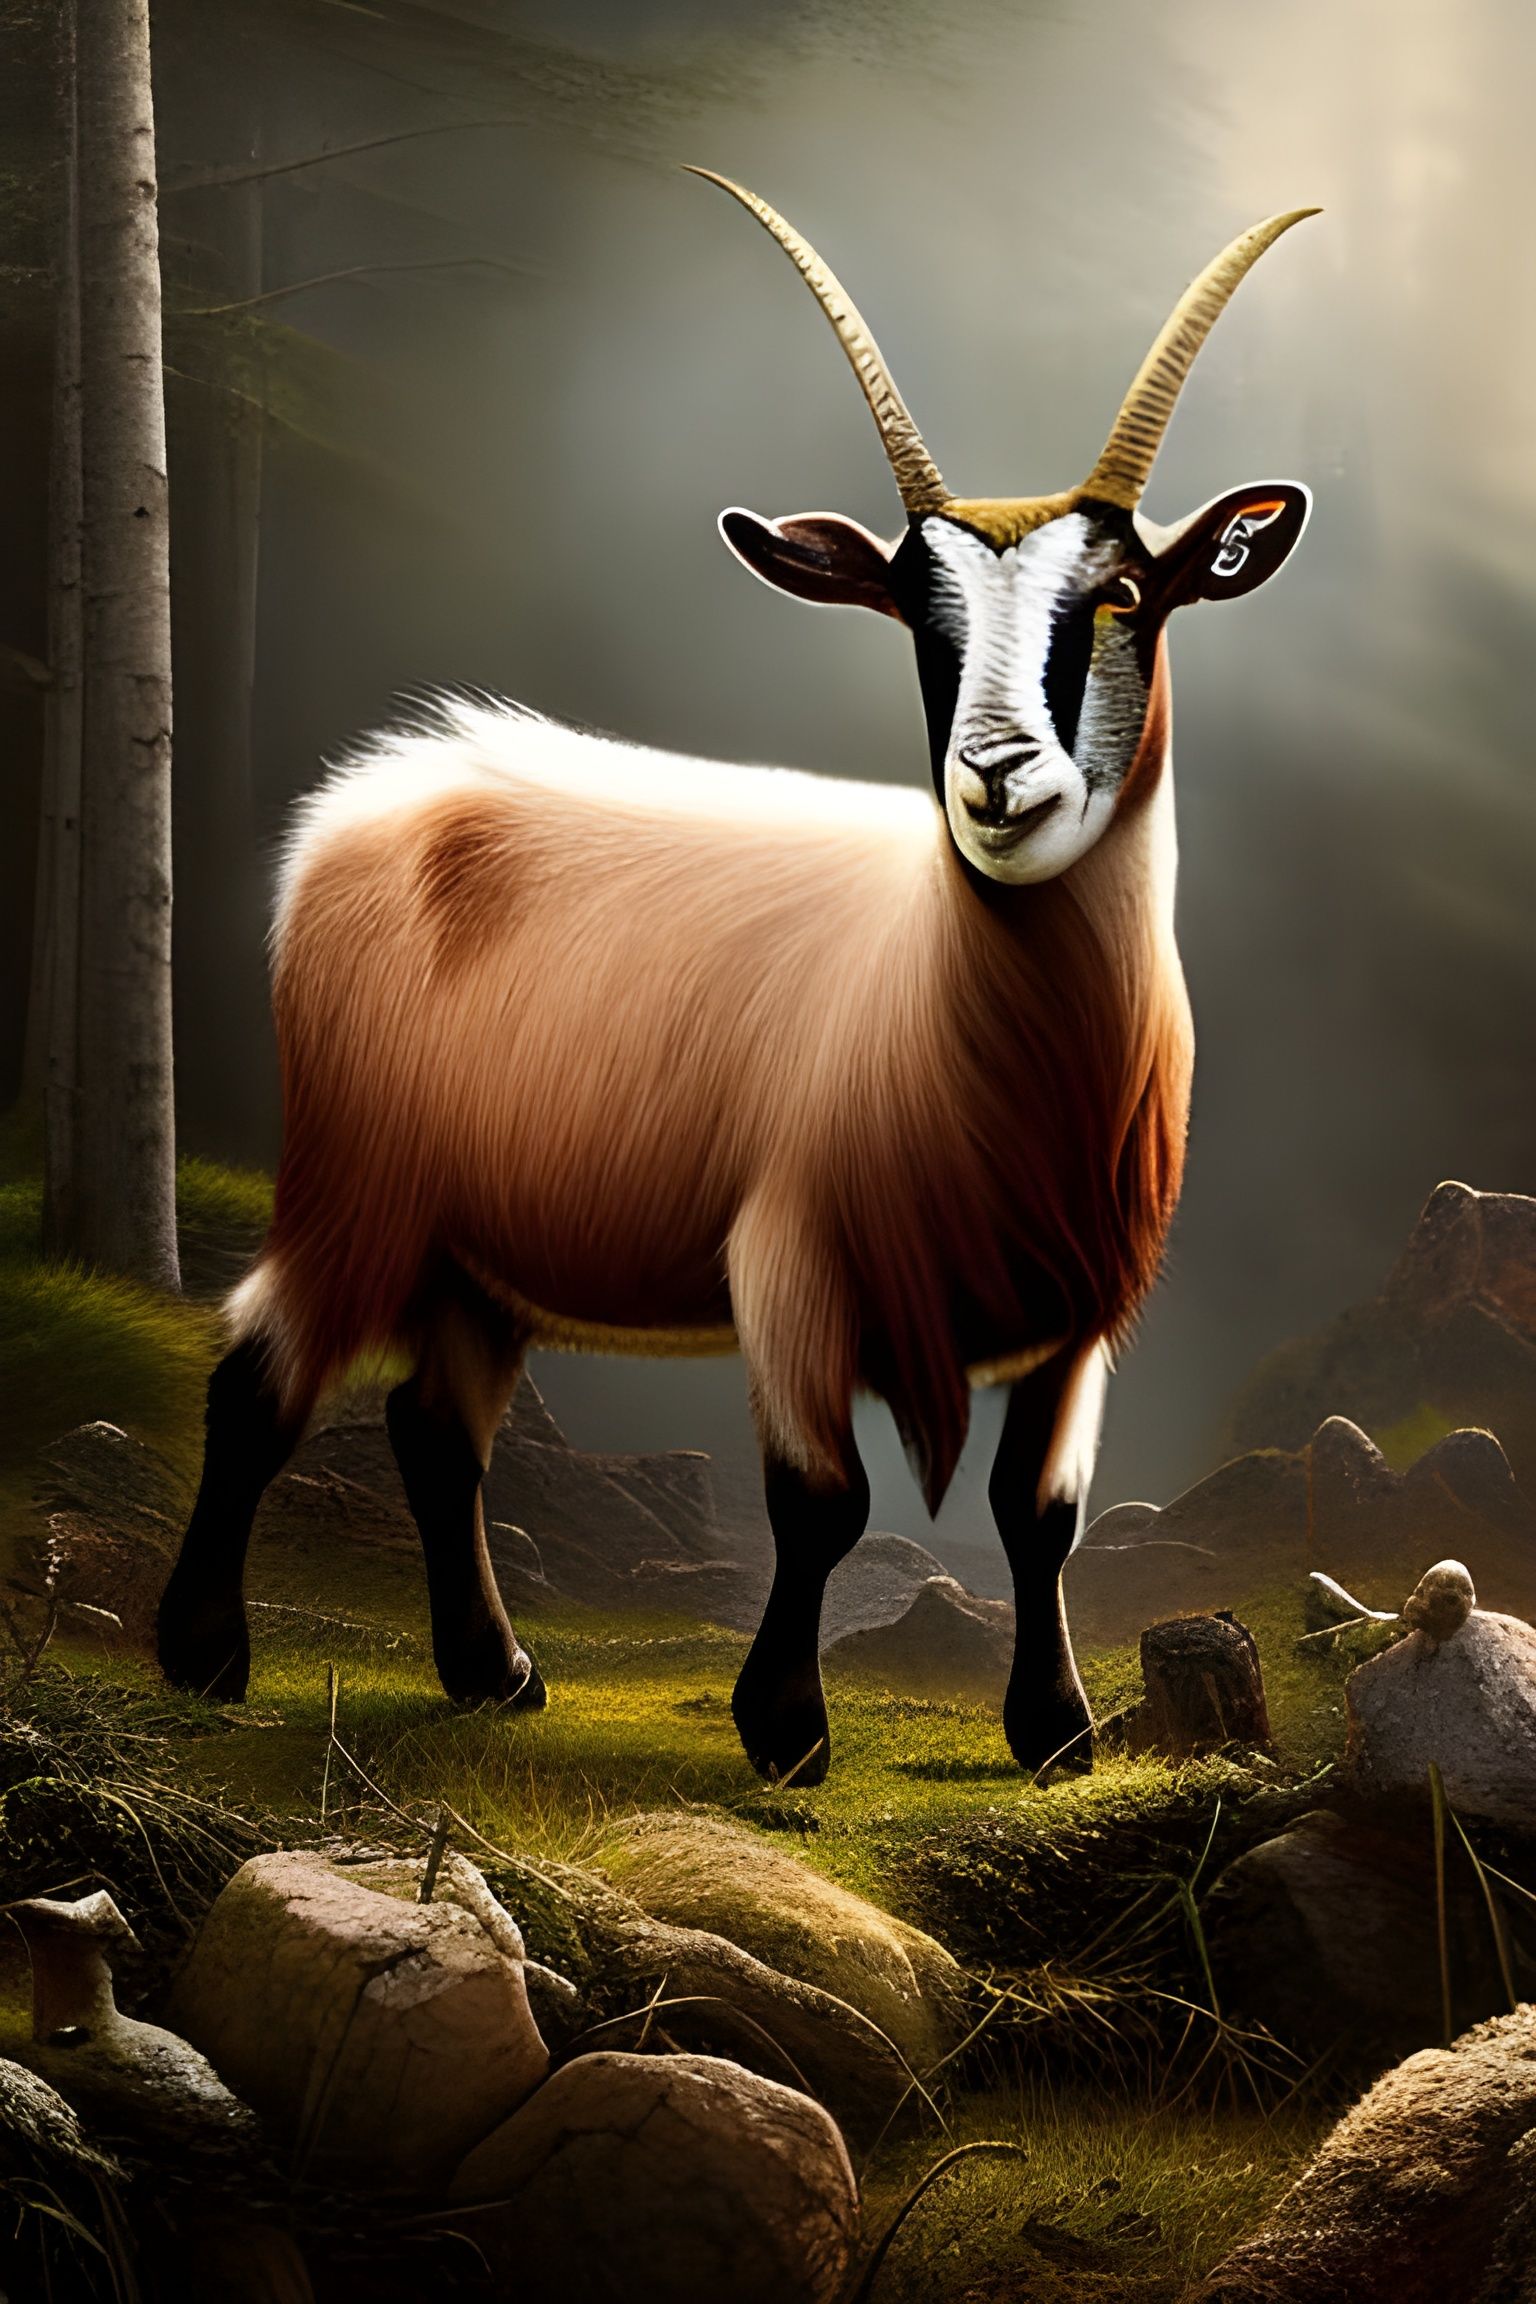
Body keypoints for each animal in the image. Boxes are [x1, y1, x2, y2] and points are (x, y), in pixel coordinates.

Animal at [157, 174, 1316, 1782]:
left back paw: (494, 1673)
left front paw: (1056, 1736)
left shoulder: (1080, 1316)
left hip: (479, 1244)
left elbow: (1041, 1515)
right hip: (357, 1181)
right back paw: (206, 1656)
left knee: (436, 1431)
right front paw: (786, 1734)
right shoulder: (793, 1264)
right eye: (917, 616)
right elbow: (822, 1501)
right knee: (260, 1375)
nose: (996, 783)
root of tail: (383, 790)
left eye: (1129, 596)